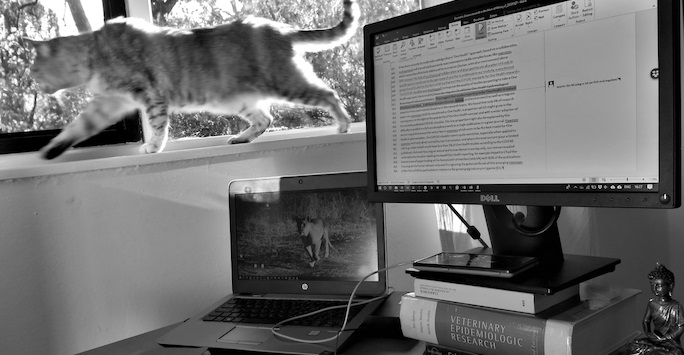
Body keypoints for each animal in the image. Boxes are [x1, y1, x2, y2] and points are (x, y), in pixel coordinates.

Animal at [24, 0, 360, 159]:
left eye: (35, 70)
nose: (34, 84)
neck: (95, 54)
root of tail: (281, 28)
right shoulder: (109, 103)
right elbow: (77, 129)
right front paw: (50, 150)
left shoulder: (150, 97)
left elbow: (157, 128)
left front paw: (152, 148)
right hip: (238, 100)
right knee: (265, 118)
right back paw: (240, 138)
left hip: (287, 82)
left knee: (328, 94)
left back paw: (344, 125)